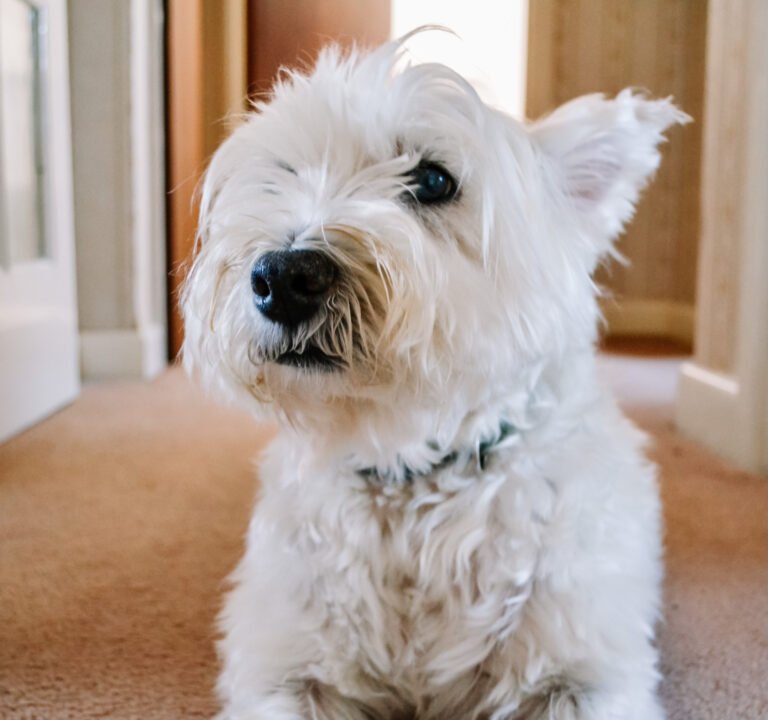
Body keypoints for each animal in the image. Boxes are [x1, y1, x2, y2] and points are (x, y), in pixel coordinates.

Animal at [182, 32, 688, 720]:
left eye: (432, 179)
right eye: (282, 174)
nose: (282, 276)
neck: (412, 475)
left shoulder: (578, 672)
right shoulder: (288, 667)